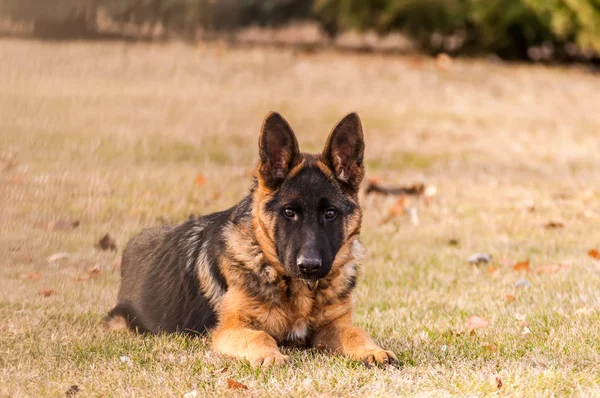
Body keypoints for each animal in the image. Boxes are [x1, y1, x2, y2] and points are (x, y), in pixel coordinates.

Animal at [106, 112, 398, 366]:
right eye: (289, 212)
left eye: (330, 214)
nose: (309, 266)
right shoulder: (230, 330)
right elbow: (261, 336)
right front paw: (271, 355)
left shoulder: (333, 326)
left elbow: (355, 332)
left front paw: (373, 350)